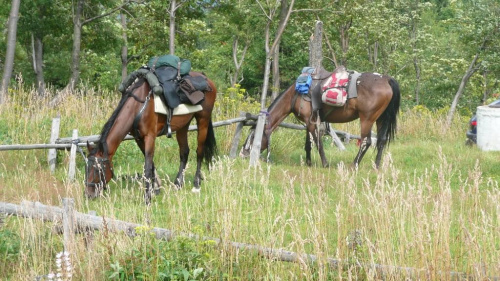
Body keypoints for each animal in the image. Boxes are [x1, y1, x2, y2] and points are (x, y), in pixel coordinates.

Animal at [84, 71, 217, 203]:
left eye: (98, 169)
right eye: (87, 168)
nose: (88, 194)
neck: (137, 107)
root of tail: (206, 78)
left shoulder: (150, 136)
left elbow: (147, 166)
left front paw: (147, 197)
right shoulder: (139, 139)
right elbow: (151, 163)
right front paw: (155, 189)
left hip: (203, 121)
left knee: (199, 151)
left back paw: (196, 183)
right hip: (183, 126)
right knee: (184, 152)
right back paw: (178, 184)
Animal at [240, 71, 400, 167]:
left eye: (253, 136)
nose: (243, 153)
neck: (295, 95)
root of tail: (386, 79)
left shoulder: (312, 122)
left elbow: (318, 143)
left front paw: (325, 163)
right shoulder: (308, 122)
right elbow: (308, 144)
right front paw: (308, 162)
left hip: (367, 119)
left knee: (366, 141)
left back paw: (354, 164)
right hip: (380, 119)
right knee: (381, 140)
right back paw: (376, 165)